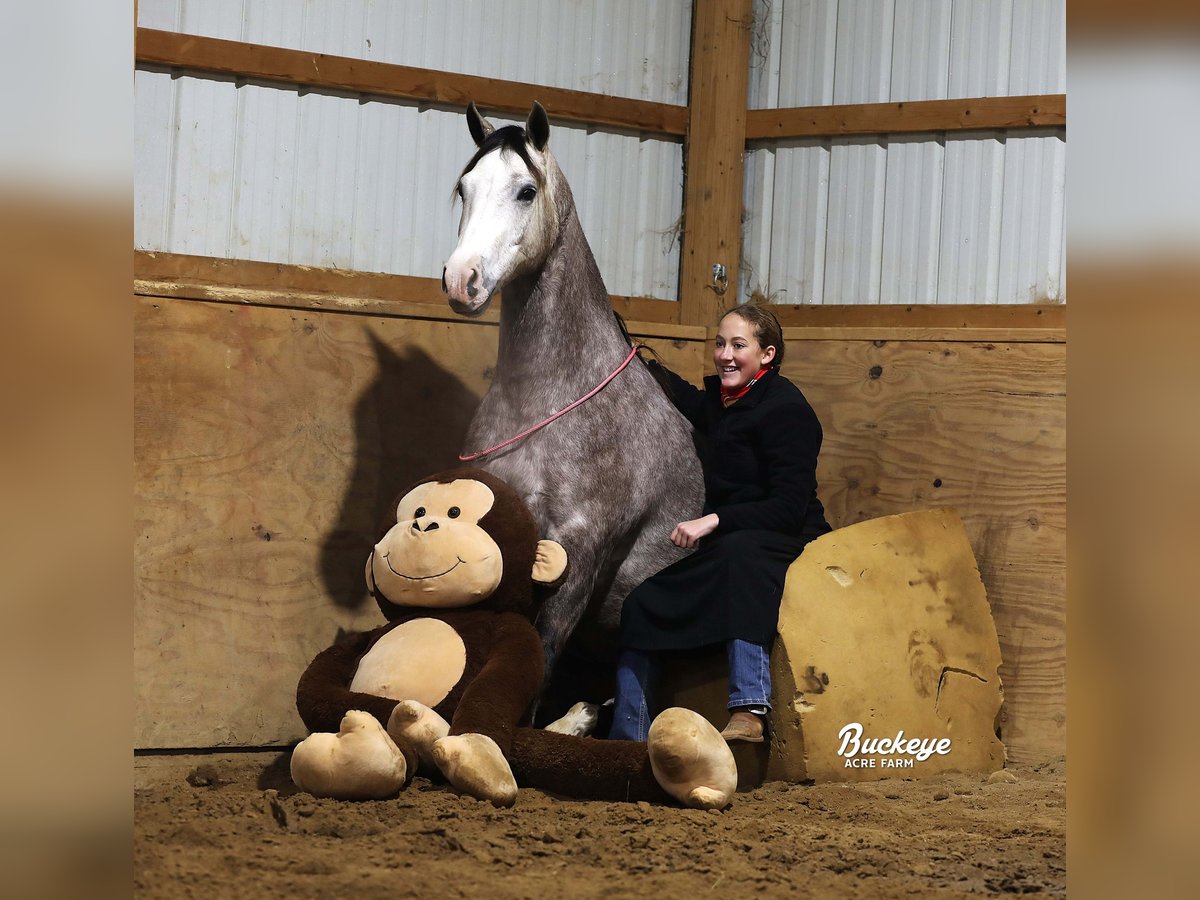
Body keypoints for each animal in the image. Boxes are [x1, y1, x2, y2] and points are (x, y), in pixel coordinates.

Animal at [441, 103, 700, 710]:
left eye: (526, 190)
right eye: (463, 189)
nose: (462, 281)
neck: (544, 403)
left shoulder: (579, 554)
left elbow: (540, 656)